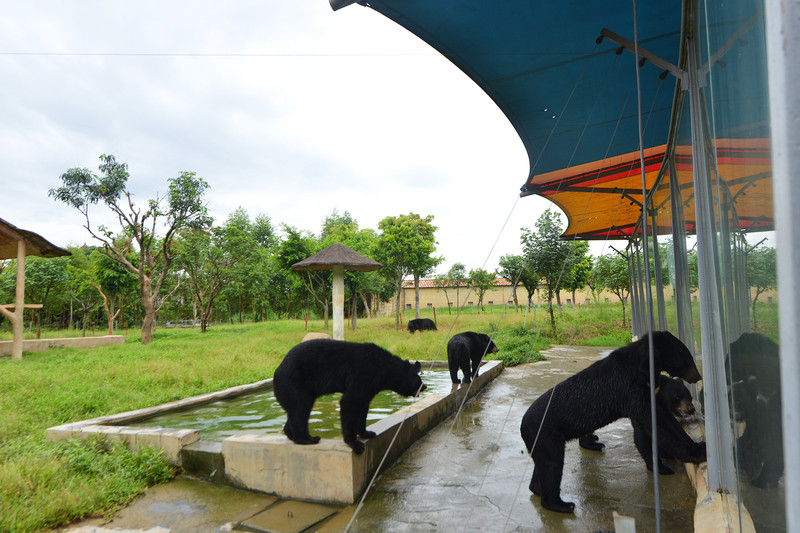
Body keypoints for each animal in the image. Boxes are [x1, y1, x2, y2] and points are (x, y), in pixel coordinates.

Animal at [274, 338, 428, 456]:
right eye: (418, 381)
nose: (425, 386)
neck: (385, 370)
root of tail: (277, 371)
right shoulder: (363, 374)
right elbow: (351, 402)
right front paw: (355, 443)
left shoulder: (370, 386)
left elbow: (363, 406)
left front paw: (367, 432)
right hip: (294, 383)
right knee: (301, 408)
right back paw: (308, 439)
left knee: (295, 410)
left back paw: (291, 434)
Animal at [520, 330, 704, 512]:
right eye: (689, 360)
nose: (698, 376)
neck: (643, 366)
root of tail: (522, 426)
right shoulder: (630, 389)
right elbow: (655, 423)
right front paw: (696, 452)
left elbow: (663, 419)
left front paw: (698, 445)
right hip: (546, 435)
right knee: (552, 465)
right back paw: (561, 504)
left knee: (544, 464)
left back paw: (537, 488)